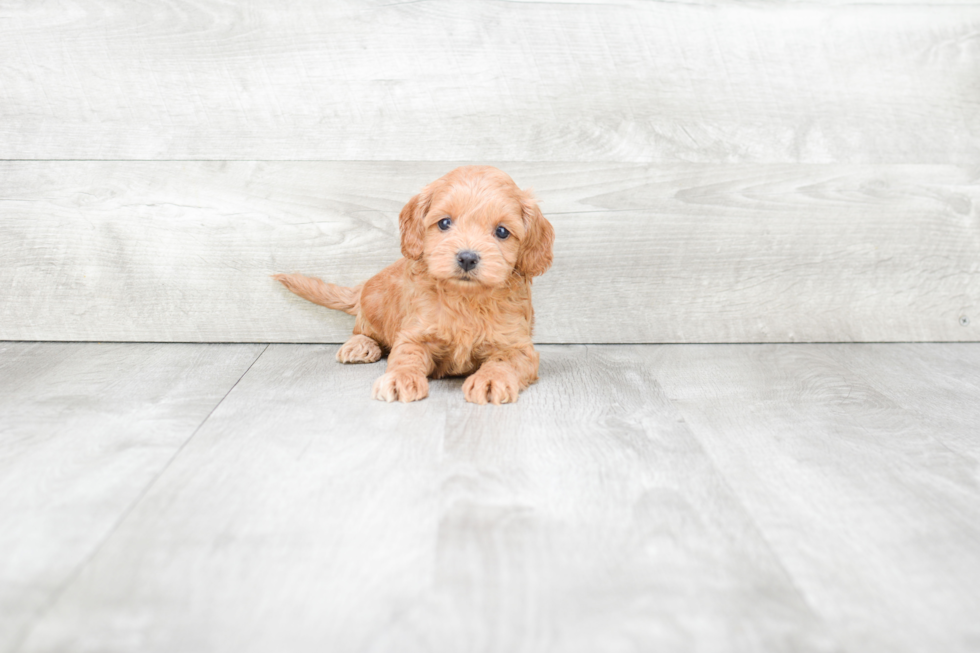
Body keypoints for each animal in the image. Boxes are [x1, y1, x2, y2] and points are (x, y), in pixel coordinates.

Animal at [276, 164, 556, 402]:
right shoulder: (415, 333)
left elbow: (503, 362)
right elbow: (406, 357)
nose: (467, 258)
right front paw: (400, 379)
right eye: (444, 223)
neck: (465, 298)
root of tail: (364, 286)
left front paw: (490, 381)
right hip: (375, 302)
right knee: (362, 329)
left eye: (502, 231)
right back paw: (360, 345)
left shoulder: (516, 345)